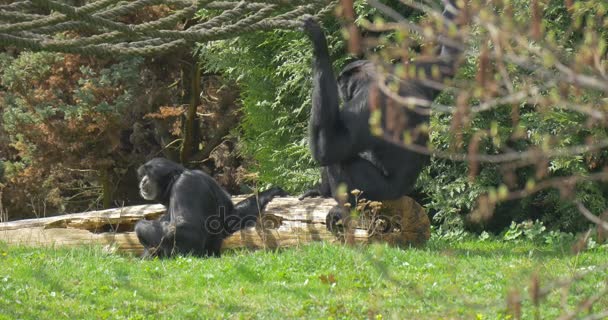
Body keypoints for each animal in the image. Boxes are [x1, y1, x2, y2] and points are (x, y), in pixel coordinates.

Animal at [134, 158, 286, 258]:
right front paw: (272, 192)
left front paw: (140, 226)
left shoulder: (186, 184)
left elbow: (190, 232)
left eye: (149, 176)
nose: (143, 181)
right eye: (143, 175)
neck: (176, 180)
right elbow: (230, 219)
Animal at [302, 0, 464, 230]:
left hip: (377, 191)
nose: (341, 90)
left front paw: (319, 44)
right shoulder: (413, 73)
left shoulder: (366, 102)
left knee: (340, 160)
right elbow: (446, 60)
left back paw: (345, 209)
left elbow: (329, 148)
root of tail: (401, 194)